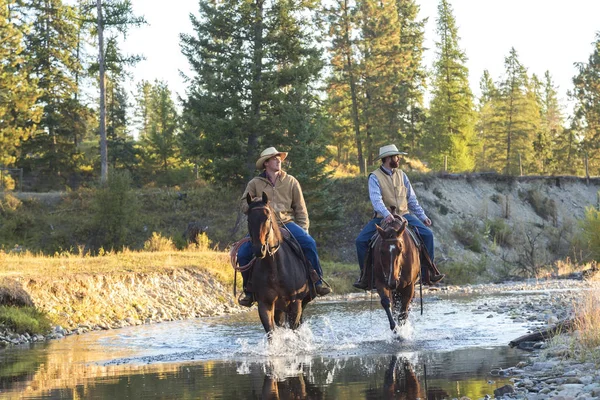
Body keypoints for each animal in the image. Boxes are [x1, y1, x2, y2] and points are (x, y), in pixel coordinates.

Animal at [246, 192, 314, 336]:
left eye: (267, 218)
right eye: (249, 220)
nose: (259, 249)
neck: (274, 268)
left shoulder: (296, 303)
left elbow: (293, 330)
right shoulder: (265, 304)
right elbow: (271, 333)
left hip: (301, 303)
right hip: (279, 310)